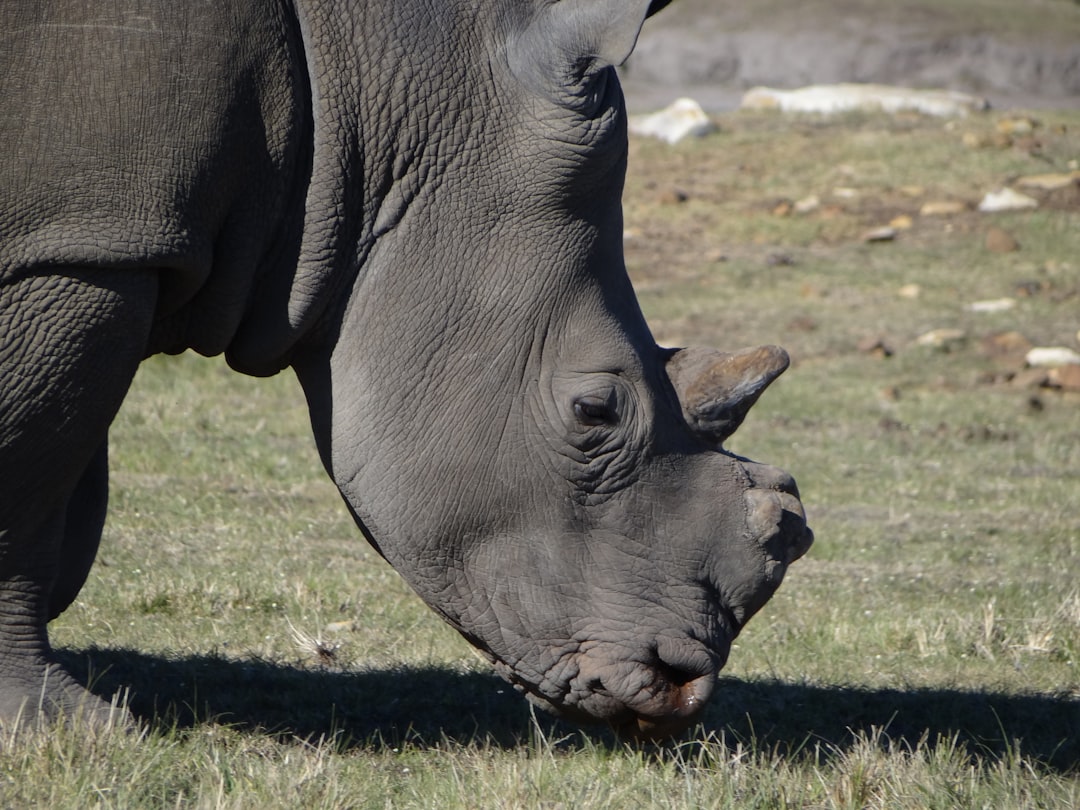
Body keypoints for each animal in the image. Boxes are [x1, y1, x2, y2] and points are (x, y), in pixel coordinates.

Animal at [0, 0, 811, 739]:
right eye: (594, 412)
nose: (681, 685)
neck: (357, 117)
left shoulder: (91, 242)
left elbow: (66, 503)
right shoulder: (86, 245)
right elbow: (32, 478)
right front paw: (66, 729)